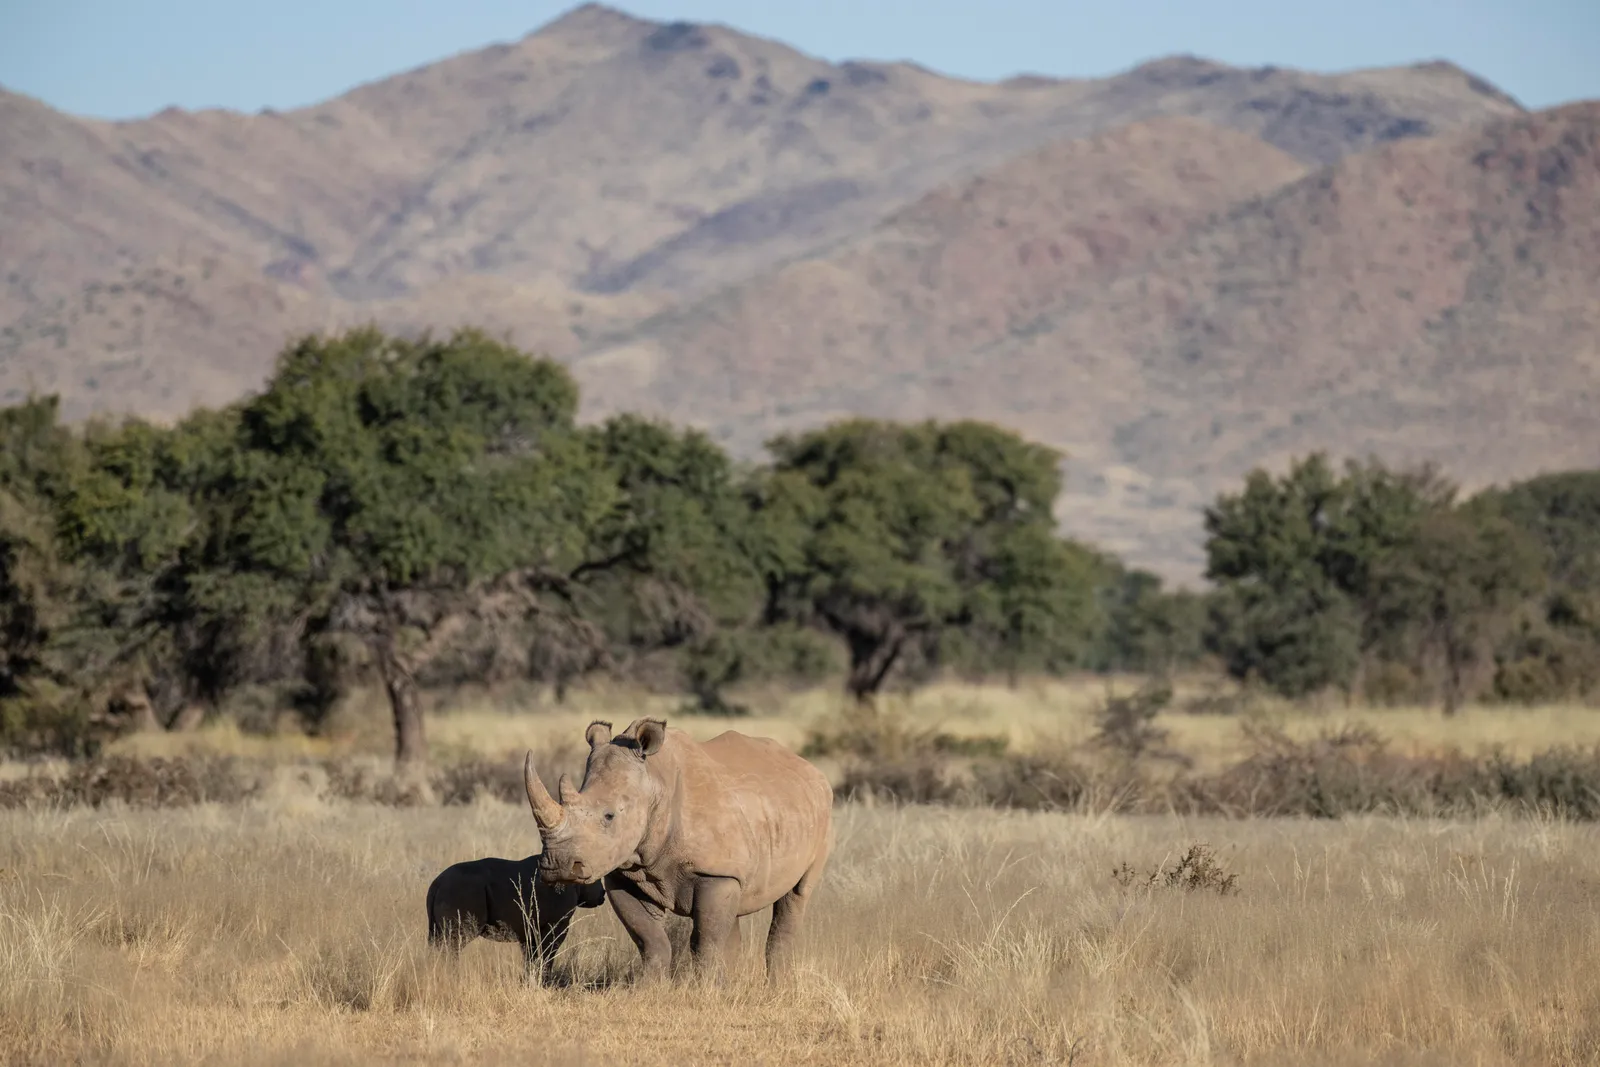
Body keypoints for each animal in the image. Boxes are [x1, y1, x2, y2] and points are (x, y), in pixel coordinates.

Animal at [425, 854, 608, 982]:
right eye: (595, 881)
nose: (602, 894)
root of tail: (437, 883)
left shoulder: (529, 931)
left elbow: (531, 957)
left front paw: (530, 981)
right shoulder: (557, 924)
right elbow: (548, 954)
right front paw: (545, 982)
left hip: (448, 897)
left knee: (440, 943)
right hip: (461, 890)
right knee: (454, 944)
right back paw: (453, 978)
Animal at [523, 717, 833, 984]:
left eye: (609, 816)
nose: (557, 866)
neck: (654, 783)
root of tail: (810, 769)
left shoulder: (714, 873)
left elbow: (706, 939)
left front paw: (706, 991)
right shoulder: (623, 874)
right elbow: (649, 938)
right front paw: (647, 988)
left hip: (822, 812)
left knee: (796, 896)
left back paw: (777, 987)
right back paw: (733, 984)